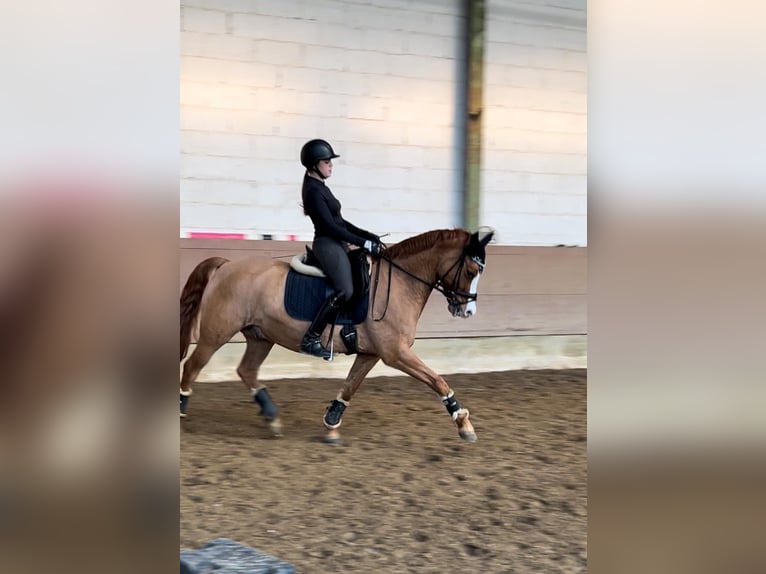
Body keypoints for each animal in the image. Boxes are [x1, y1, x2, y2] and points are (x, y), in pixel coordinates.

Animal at [179, 227, 496, 444]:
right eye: (471, 270)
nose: (467, 311)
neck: (399, 283)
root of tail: (226, 265)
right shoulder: (395, 353)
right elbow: (437, 380)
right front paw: (464, 423)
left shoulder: (372, 353)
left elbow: (350, 386)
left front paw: (331, 424)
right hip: (216, 333)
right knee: (192, 367)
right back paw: (182, 411)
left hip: (260, 336)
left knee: (246, 370)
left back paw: (272, 418)